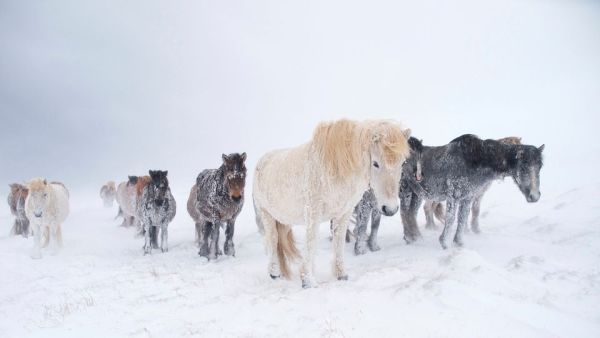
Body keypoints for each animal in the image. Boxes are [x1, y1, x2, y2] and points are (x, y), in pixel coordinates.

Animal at [253, 119, 412, 288]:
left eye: (402, 163)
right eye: (375, 163)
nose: (390, 209)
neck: (335, 170)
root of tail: (262, 161)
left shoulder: (343, 213)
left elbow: (339, 242)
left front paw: (341, 275)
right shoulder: (313, 213)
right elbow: (311, 243)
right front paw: (308, 281)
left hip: (284, 219)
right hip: (266, 215)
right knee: (272, 240)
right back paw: (274, 273)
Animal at [400, 134, 548, 248]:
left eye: (540, 166)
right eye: (523, 167)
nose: (535, 196)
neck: (475, 161)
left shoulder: (468, 198)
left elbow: (463, 218)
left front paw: (459, 243)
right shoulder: (454, 196)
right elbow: (451, 218)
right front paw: (444, 244)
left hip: (416, 195)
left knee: (411, 213)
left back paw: (414, 237)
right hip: (405, 191)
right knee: (405, 213)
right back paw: (412, 238)